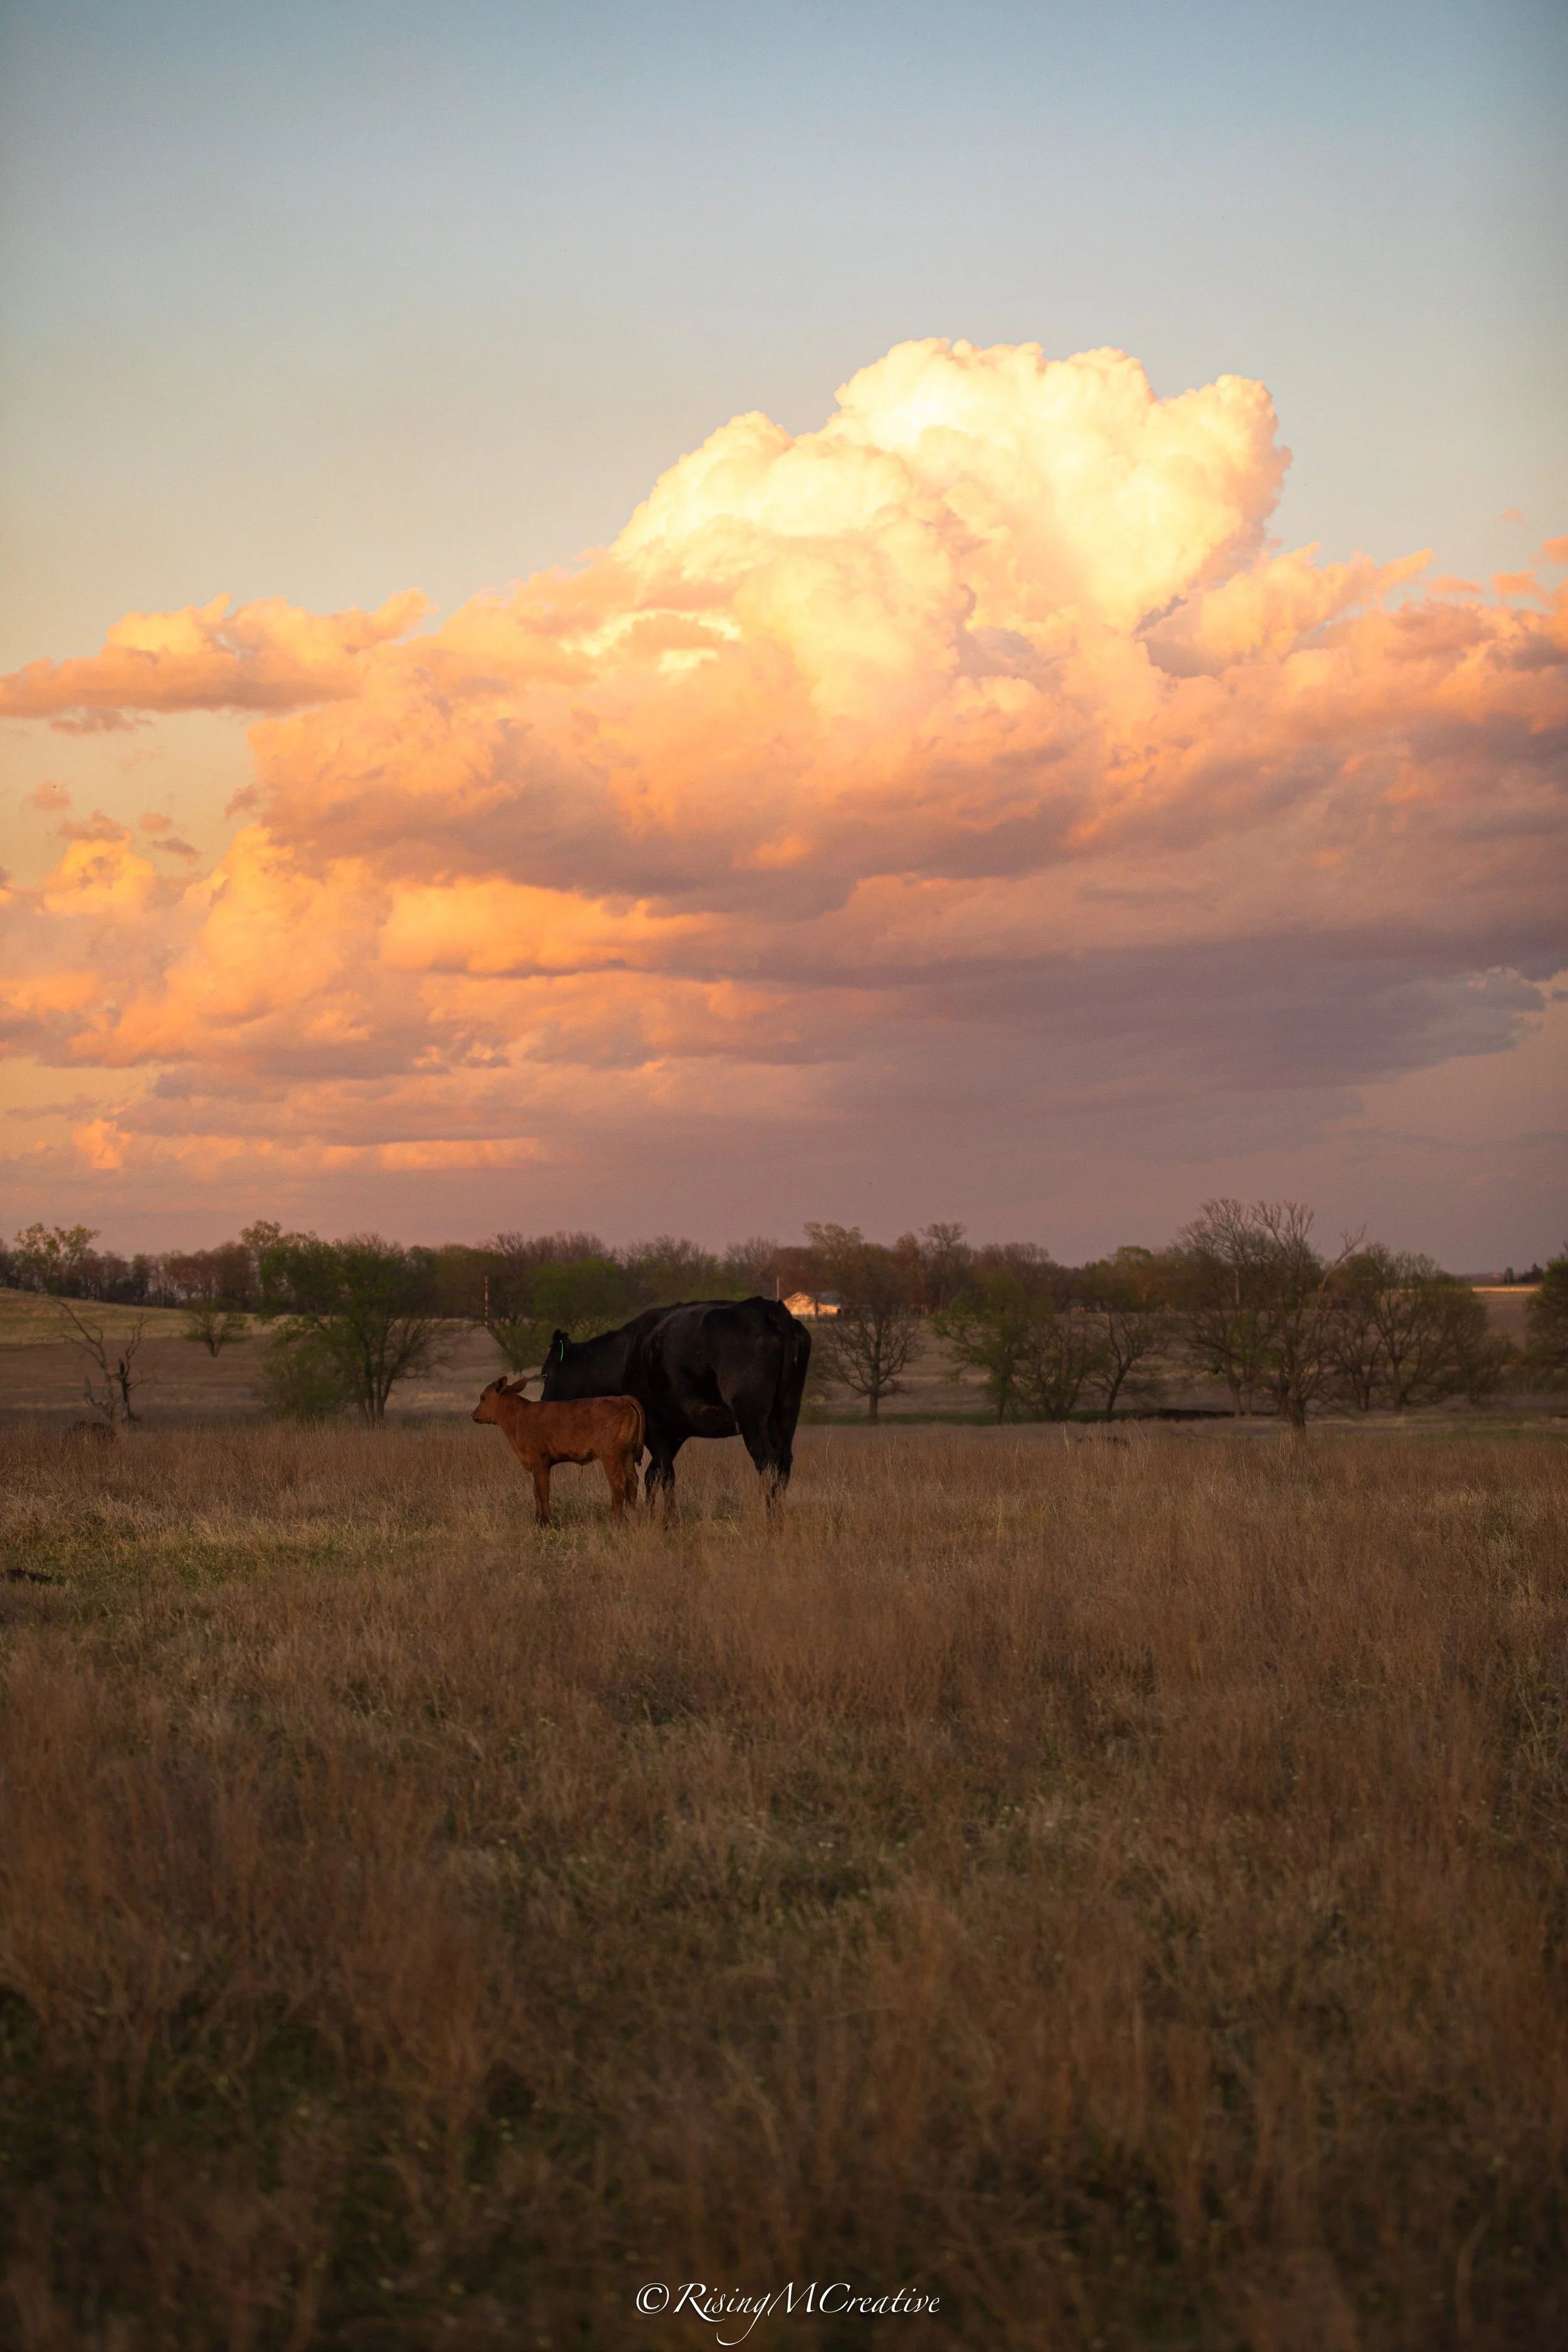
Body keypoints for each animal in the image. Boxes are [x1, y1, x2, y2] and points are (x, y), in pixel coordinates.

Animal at [472, 1378, 645, 1527]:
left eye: (483, 1398)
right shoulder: (538, 1466)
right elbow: (536, 1491)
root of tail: (623, 1399)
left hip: (611, 1457)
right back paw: (631, 1520)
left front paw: (546, 1523)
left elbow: (542, 1491)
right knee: (632, 1481)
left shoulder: (540, 1461)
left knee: (619, 1484)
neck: (519, 1418)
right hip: (627, 1455)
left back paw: (614, 1522)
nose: (473, 1415)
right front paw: (538, 1520)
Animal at [538, 1296, 810, 1511]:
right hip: (787, 1412)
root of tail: (770, 1309)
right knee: (783, 1462)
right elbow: (654, 1474)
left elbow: (665, 1474)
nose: (543, 1406)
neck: (625, 1355)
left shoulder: (655, 1426)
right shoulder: (675, 1431)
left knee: (767, 1461)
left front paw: (669, 1521)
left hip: (751, 1414)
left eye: (545, 1375)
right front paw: (651, 1517)